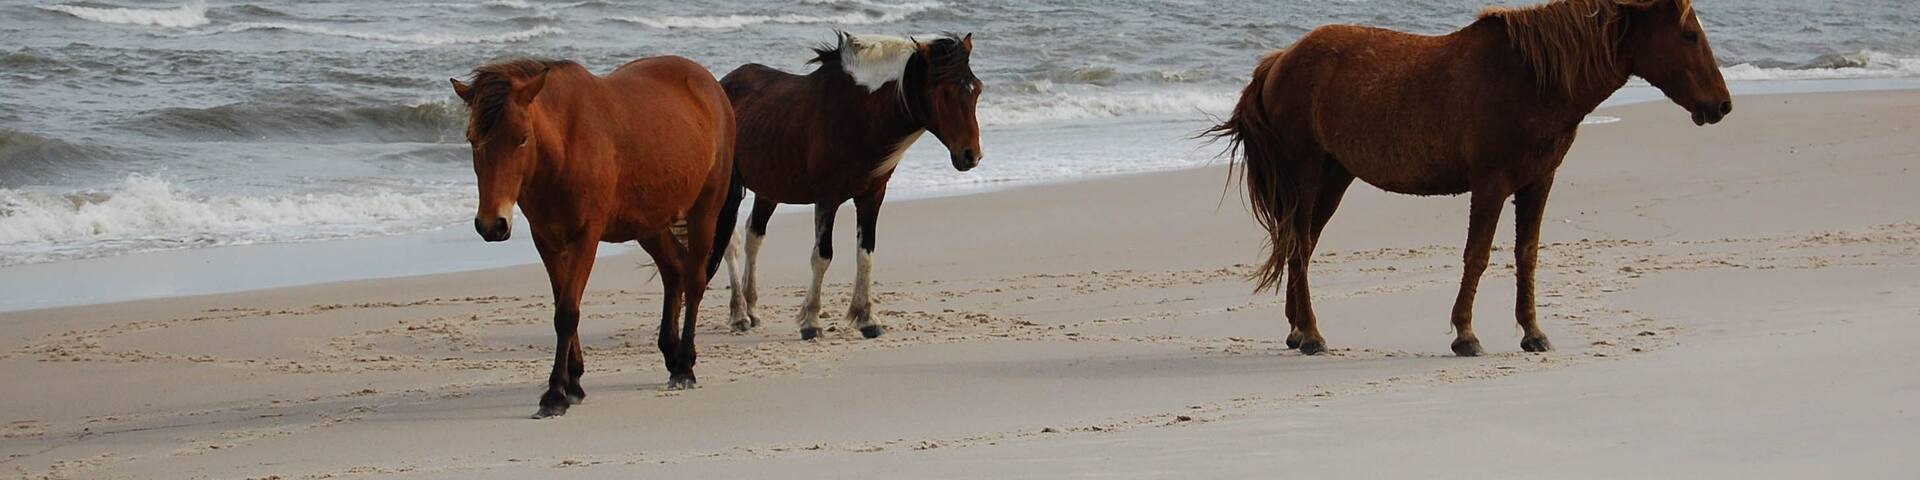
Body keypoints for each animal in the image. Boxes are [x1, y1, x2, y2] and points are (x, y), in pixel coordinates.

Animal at [450, 56, 742, 418]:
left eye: (522, 138)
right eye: (472, 139)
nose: (492, 225)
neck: (565, 146)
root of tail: (710, 85)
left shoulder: (585, 238)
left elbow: (567, 312)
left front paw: (555, 395)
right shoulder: (546, 240)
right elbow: (563, 303)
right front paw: (573, 383)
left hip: (705, 211)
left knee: (695, 279)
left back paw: (685, 367)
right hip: (649, 224)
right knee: (673, 270)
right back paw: (672, 356)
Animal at [719, 32, 984, 340]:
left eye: (976, 90)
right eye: (946, 92)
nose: (971, 155)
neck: (858, 115)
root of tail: (723, 84)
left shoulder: (872, 196)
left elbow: (865, 254)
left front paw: (867, 318)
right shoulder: (827, 198)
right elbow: (822, 256)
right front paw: (811, 321)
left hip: (769, 189)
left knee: (753, 237)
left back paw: (751, 308)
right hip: (732, 188)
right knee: (731, 242)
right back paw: (739, 313)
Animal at [1207, 0, 1730, 356]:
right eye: (1689, 35)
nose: (1722, 105)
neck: (1530, 79)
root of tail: (1282, 58)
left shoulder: (1538, 183)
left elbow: (1526, 255)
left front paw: (1533, 333)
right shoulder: (1491, 184)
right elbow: (1477, 255)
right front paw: (1466, 334)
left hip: (1335, 177)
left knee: (1304, 245)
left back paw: (1299, 329)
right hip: (1307, 172)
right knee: (1298, 245)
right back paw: (1312, 334)